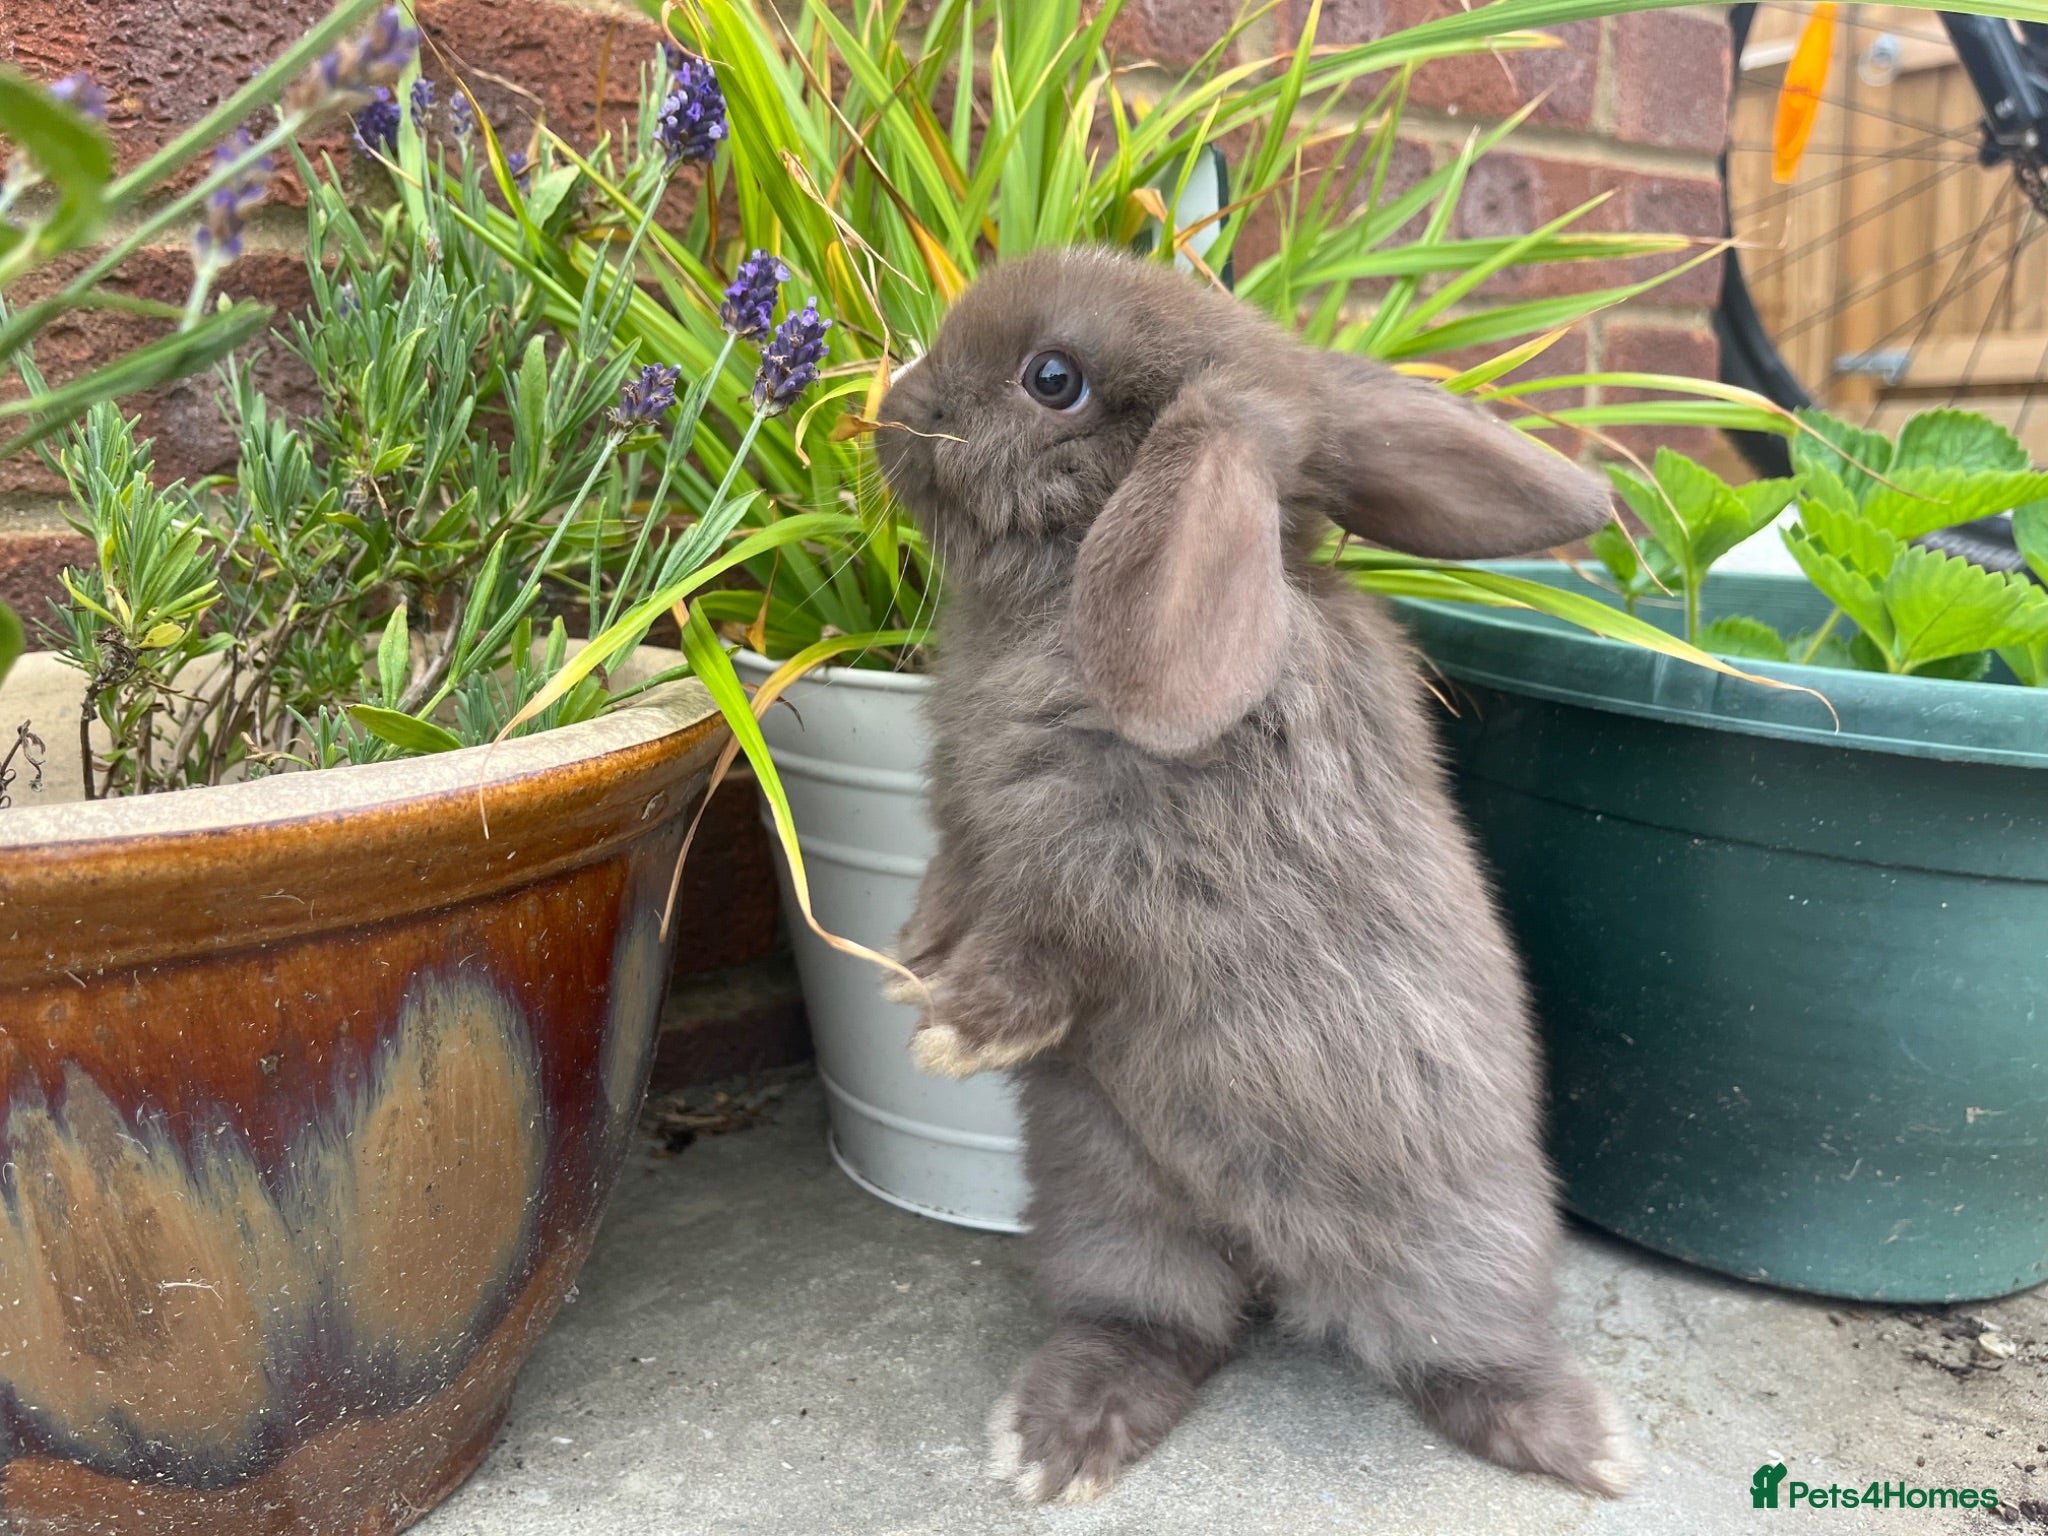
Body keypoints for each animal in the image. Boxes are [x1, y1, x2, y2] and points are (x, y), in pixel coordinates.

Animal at [871, 247, 1635, 1507]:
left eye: (1051, 378)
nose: (893, 402)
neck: (1061, 594)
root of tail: (1269, 1259)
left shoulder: (1114, 875)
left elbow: (1052, 940)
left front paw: (959, 1028)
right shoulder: (969, 832)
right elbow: (956, 887)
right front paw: (909, 967)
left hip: (1456, 1247)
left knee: (1469, 1354)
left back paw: (1579, 1443)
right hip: (1109, 1209)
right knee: (1158, 1327)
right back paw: (1059, 1438)